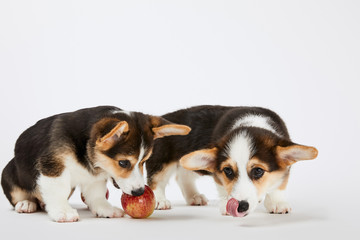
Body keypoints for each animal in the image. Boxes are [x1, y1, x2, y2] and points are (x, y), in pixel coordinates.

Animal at [0, 106, 191, 222]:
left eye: (143, 161)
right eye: (123, 162)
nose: (139, 192)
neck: (84, 150)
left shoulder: (95, 177)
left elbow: (96, 194)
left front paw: (104, 209)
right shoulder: (53, 167)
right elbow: (58, 191)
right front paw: (63, 211)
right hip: (8, 172)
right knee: (19, 197)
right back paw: (26, 204)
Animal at [145, 105, 316, 216]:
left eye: (258, 171)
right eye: (228, 171)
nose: (240, 207)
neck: (252, 122)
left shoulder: (283, 171)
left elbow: (278, 186)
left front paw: (277, 203)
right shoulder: (218, 175)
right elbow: (223, 188)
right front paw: (226, 204)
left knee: (183, 176)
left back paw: (194, 197)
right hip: (161, 161)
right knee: (156, 179)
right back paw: (159, 200)